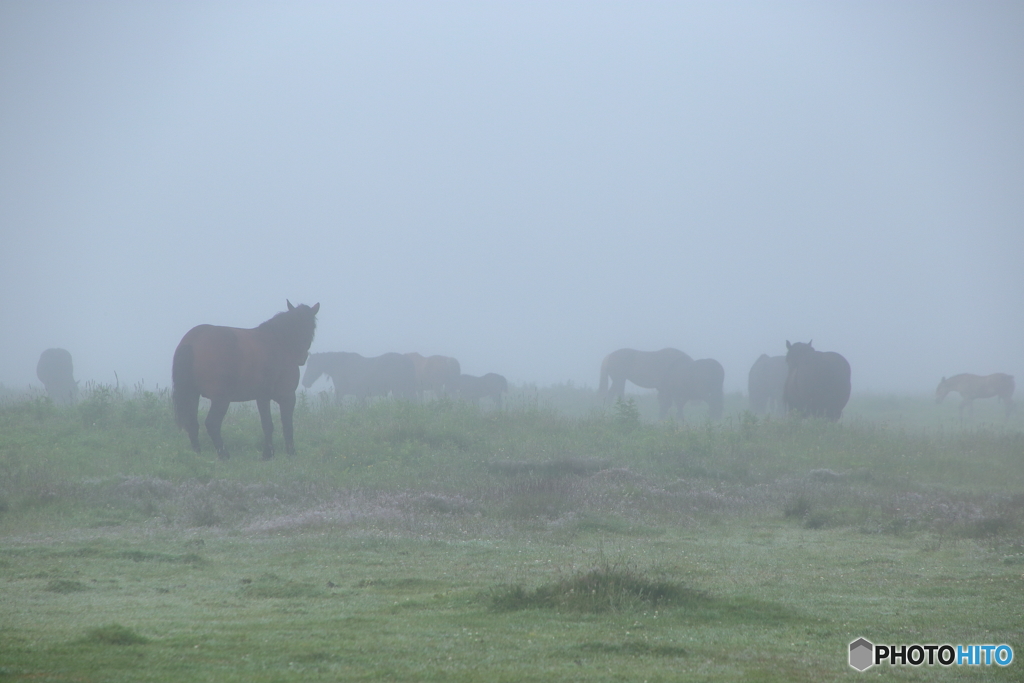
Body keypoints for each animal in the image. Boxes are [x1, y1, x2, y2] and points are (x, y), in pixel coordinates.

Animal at [171, 301, 319, 456]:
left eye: (311, 326)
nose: (302, 357)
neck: (279, 343)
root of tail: (193, 341)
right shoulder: (287, 396)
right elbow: (286, 425)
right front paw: (287, 453)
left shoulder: (262, 397)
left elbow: (267, 425)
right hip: (221, 399)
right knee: (212, 423)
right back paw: (224, 455)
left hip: (192, 395)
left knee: (192, 424)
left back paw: (198, 454)